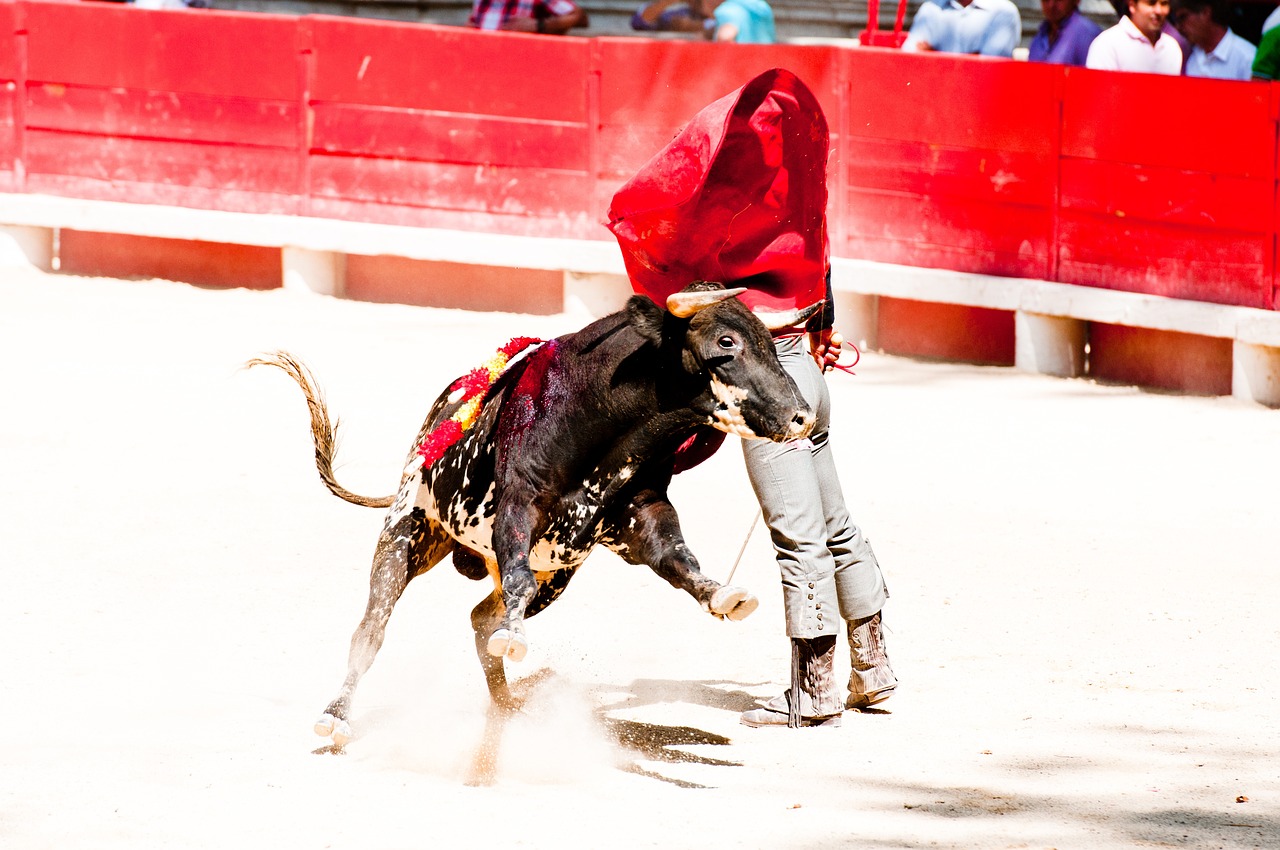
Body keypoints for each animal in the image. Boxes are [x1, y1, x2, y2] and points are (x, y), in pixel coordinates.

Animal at [247, 280, 819, 742]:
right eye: (726, 342)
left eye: (771, 343)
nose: (803, 416)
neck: (600, 416)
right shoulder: (519, 505)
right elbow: (516, 577)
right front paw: (516, 641)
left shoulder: (642, 512)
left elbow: (678, 557)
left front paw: (724, 595)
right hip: (407, 531)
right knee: (372, 629)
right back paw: (336, 716)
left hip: (555, 576)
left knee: (482, 620)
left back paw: (508, 702)